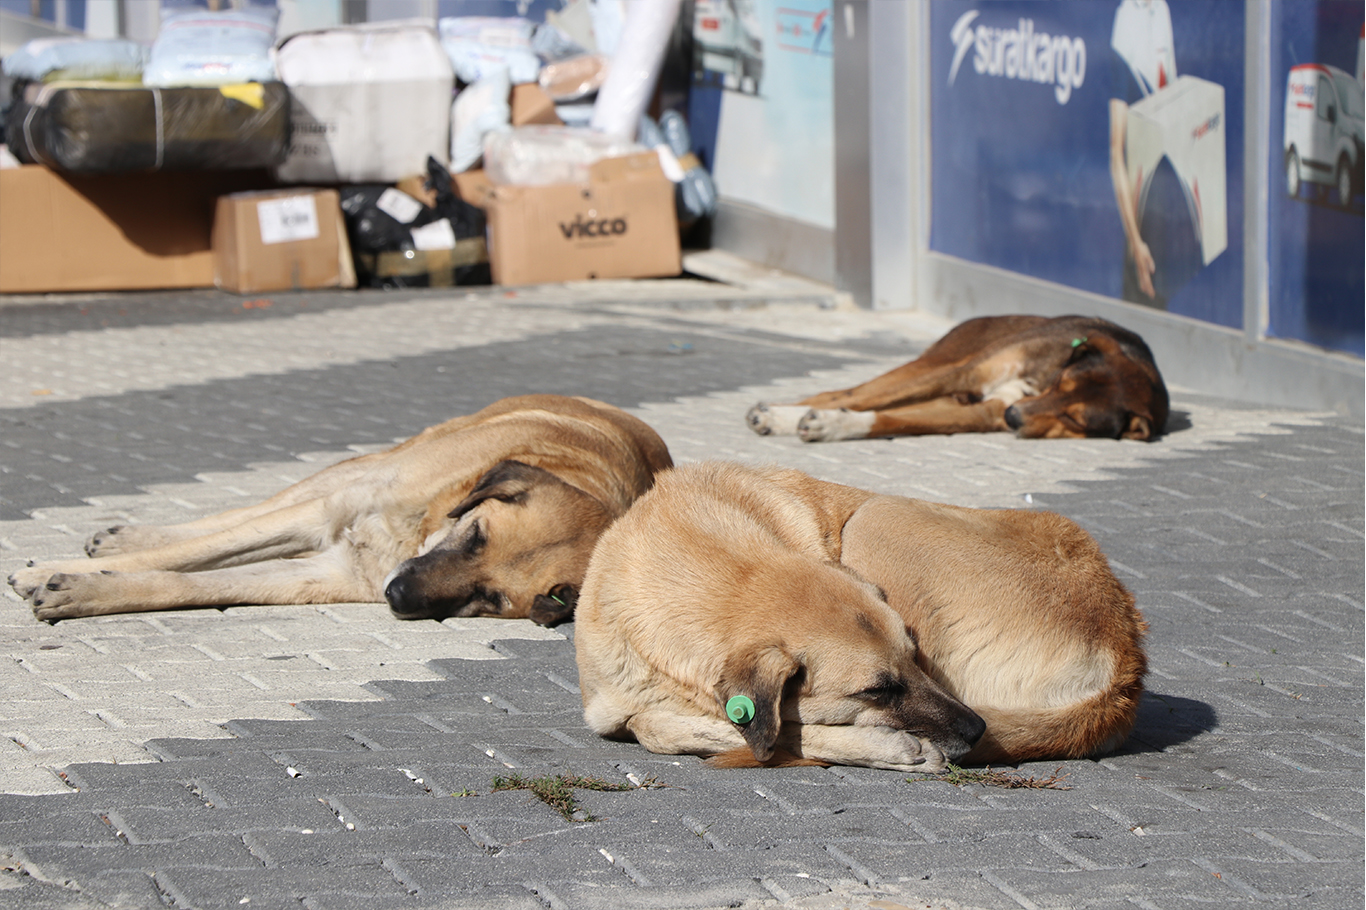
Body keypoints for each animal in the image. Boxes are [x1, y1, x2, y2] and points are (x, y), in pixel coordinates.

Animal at [9, 393, 672, 628]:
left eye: (491, 598)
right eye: (475, 535)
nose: (397, 595)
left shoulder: (328, 573)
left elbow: (185, 582)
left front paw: (85, 591)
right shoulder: (334, 510)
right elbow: (194, 552)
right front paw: (51, 571)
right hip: (355, 472)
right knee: (240, 515)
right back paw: (120, 540)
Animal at [570, 464, 1147, 770]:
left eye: (918, 658)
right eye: (877, 690)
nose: (976, 728)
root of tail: (1125, 656)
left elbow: (755, 729)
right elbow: (660, 724)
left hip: (875, 516)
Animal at [743, 314, 1169, 439]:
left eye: (1075, 420)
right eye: (1060, 383)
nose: (1014, 416)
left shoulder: (982, 412)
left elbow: (888, 419)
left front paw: (835, 427)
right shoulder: (963, 374)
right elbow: (859, 400)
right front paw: (792, 416)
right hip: (935, 365)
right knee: (844, 391)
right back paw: (778, 413)